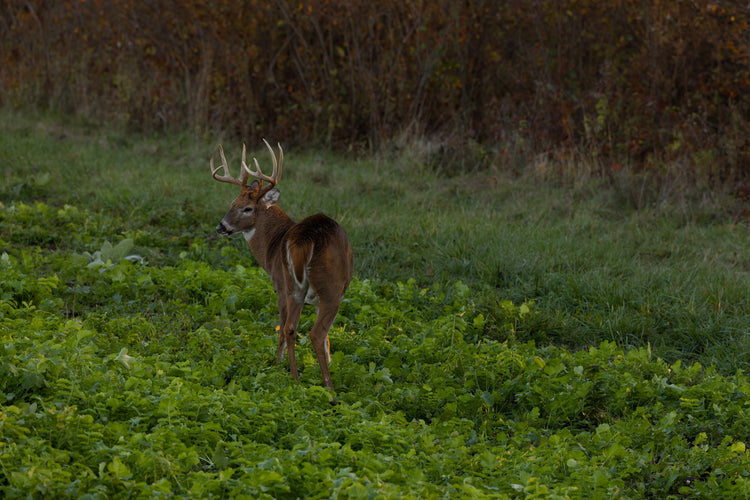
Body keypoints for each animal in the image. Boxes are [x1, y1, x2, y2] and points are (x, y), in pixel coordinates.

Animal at [210, 140, 354, 402]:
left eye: (245, 208)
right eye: (232, 205)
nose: (221, 227)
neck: (274, 244)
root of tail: (306, 239)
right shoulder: (282, 286)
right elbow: (322, 337)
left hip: (297, 287)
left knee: (291, 329)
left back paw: (294, 379)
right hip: (326, 287)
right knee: (312, 333)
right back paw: (327, 390)